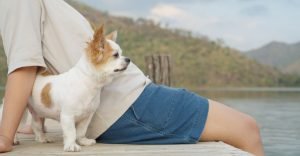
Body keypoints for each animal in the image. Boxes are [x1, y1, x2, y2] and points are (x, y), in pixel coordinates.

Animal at [1, 25, 130, 151]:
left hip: (37, 112)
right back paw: (14, 140)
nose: (128, 59)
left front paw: (83, 141)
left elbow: (81, 131)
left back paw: (42, 138)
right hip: (21, 109)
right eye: (116, 55)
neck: (88, 83)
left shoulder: (86, 117)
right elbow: (71, 132)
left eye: (121, 53)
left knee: (36, 125)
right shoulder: (67, 117)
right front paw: (71, 146)